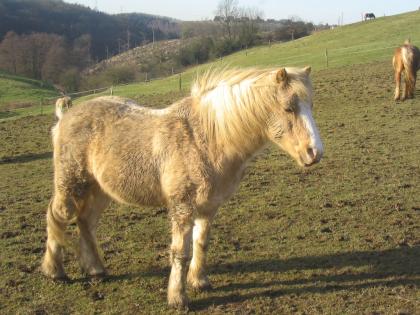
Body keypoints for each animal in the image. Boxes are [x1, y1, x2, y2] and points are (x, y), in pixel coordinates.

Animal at [41, 65, 322, 310]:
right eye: (288, 108)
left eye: (311, 106)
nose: (315, 153)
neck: (206, 138)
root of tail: (65, 116)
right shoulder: (183, 207)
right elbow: (180, 253)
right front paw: (178, 298)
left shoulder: (209, 207)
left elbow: (201, 243)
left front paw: (199, 282)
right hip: (72, 185)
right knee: (57, 217)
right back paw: (55, 272)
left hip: (100, 191)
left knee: (86, 222)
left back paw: (96, 270)